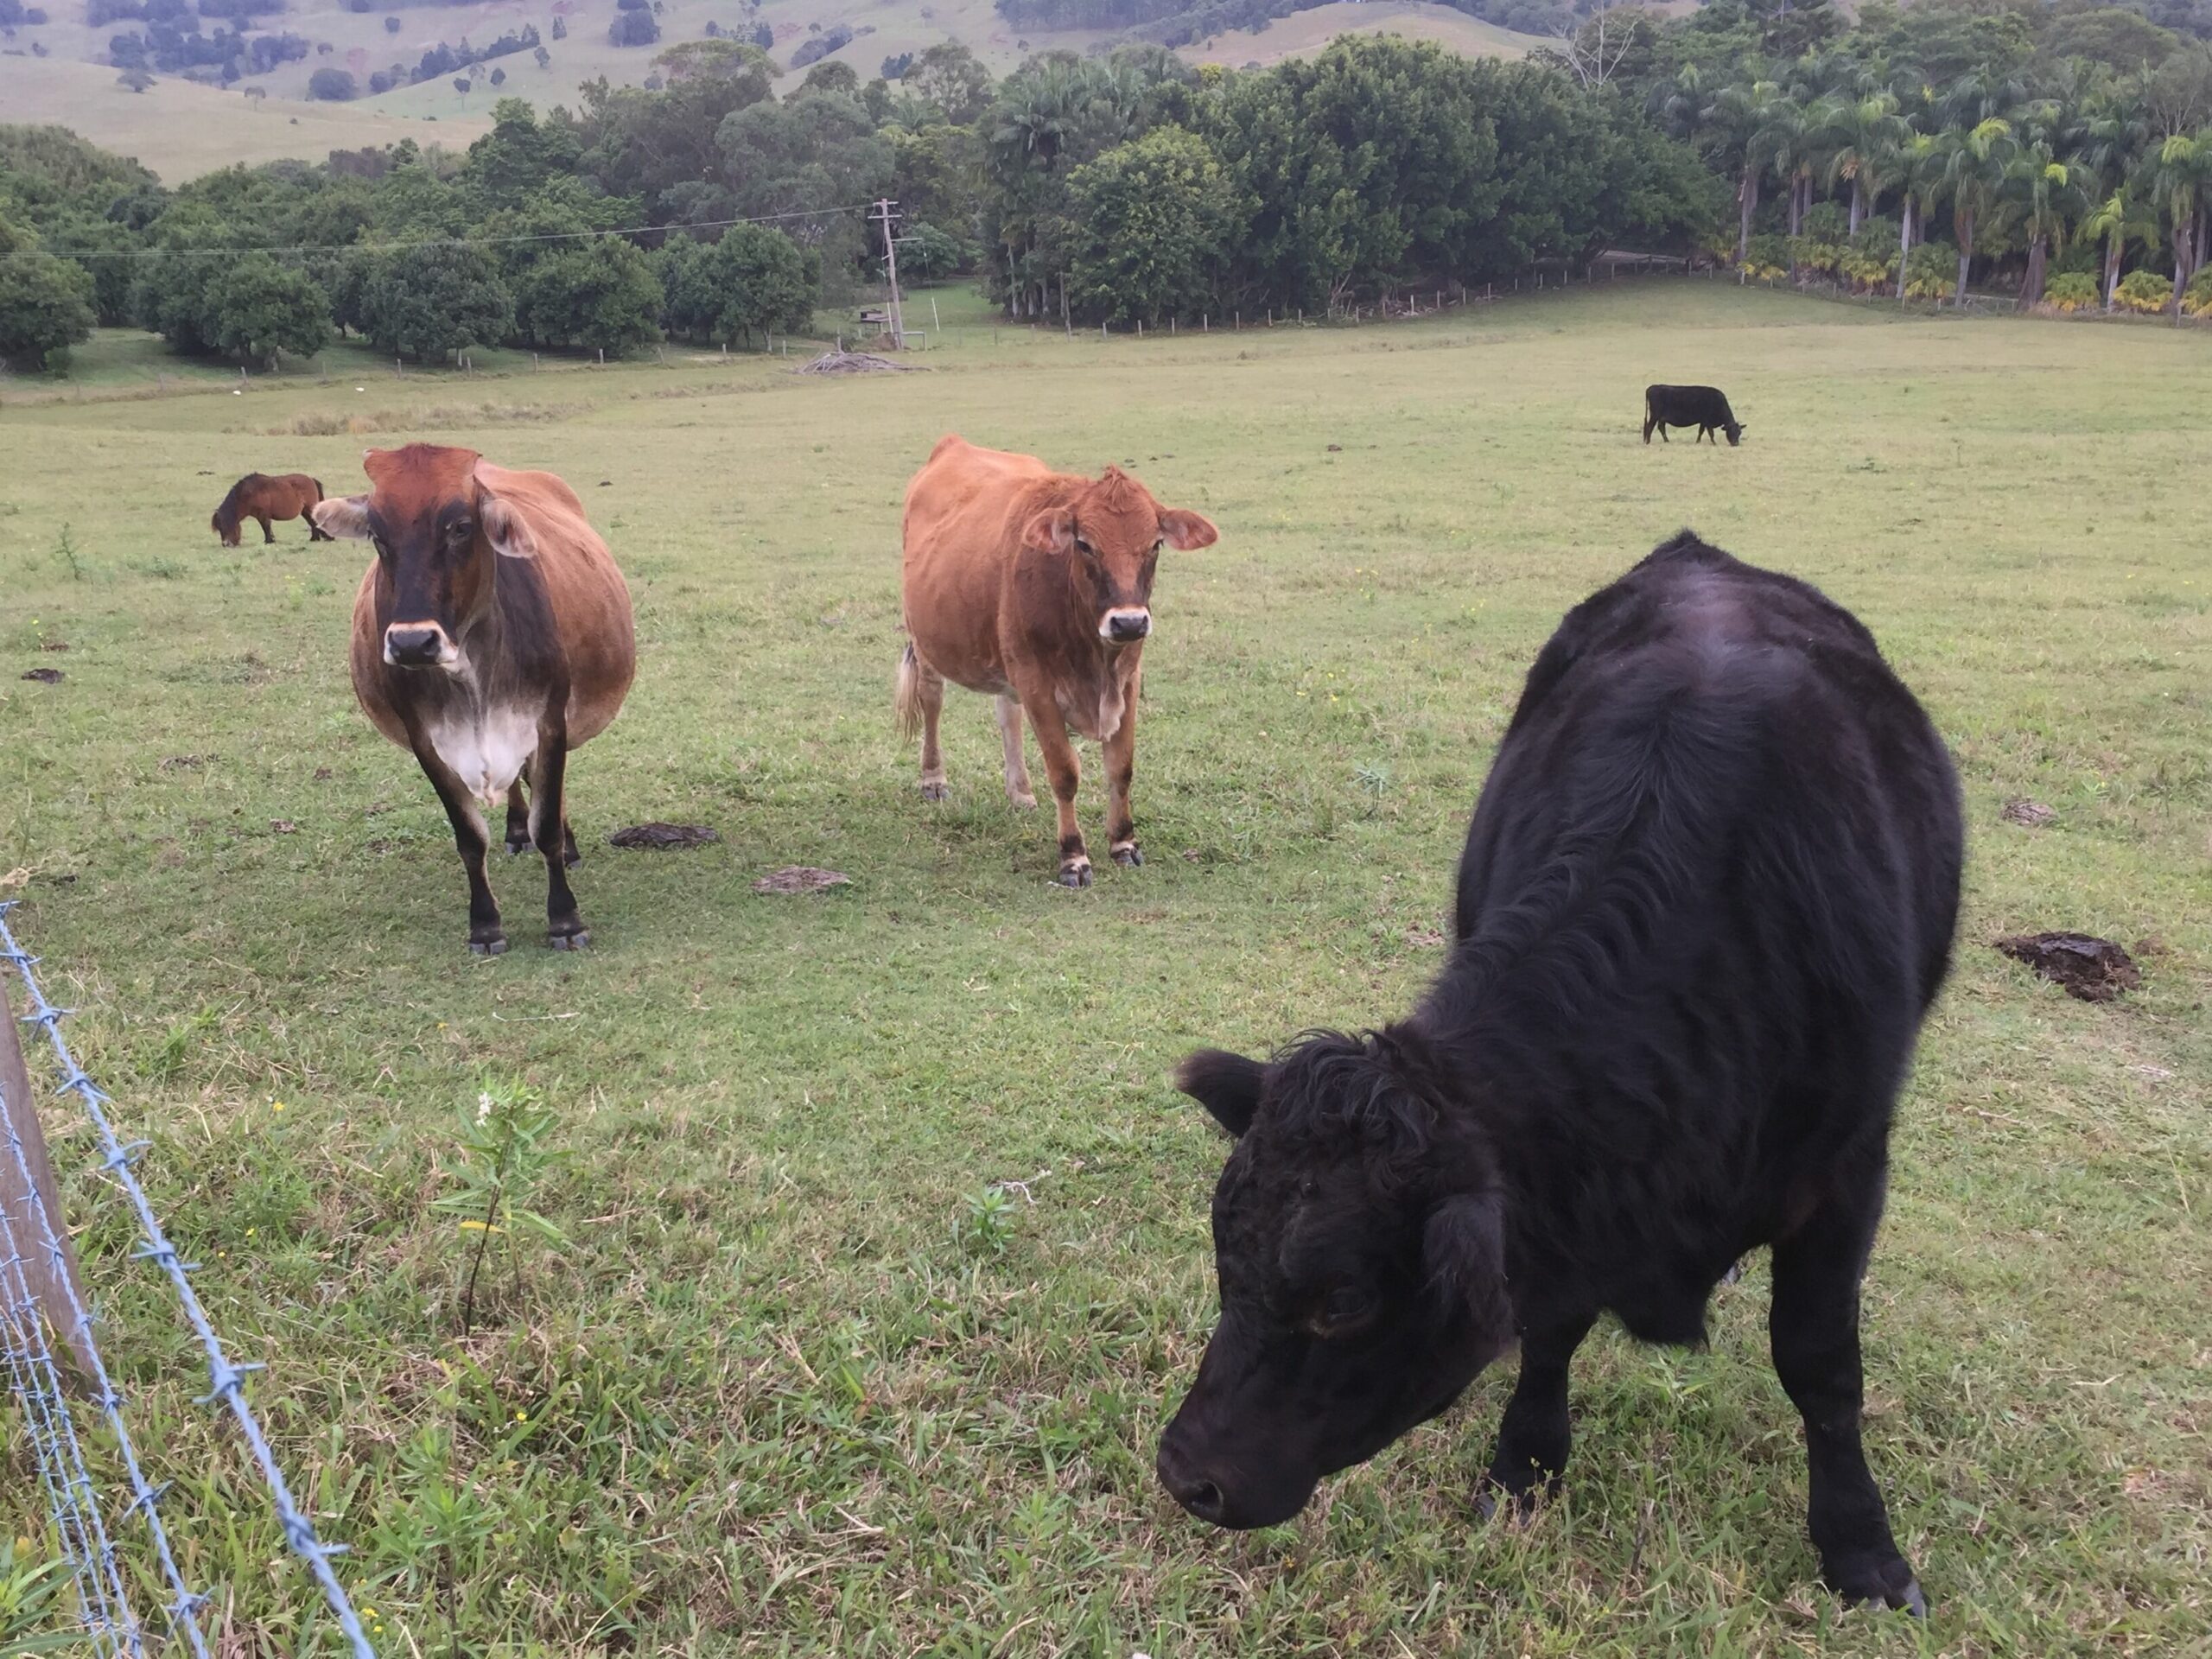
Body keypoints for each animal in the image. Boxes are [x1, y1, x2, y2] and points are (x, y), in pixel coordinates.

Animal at [307, 448, 632, 955]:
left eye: (460, 527)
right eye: (378, 536)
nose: (412, 643)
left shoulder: (549, 723)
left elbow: (547, 827)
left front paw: (565, 919)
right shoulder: (426, 742)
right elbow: (469, 837)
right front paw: (485, 924)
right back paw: (515, 831)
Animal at [889, 435, 1221, 889]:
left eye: (1155, 544)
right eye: (1084, 544)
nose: (1129, 622)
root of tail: (953, 444)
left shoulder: (1128, 680)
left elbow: (1121, 767)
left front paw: (1124, 842)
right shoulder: (1038, 685)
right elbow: (1065, 773)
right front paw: (1073, 857)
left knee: (1007, 715)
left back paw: (1020, 791)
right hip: (926, 643)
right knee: (932, 701)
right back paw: (933, 779)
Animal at [1167, 535, 1964, 1628]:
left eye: (1342, 1300)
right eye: (1224, 1254)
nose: (1184, 1474)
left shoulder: (1846, 1172)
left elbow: (1819, 1364)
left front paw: (1862, 1550)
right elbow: (1549, 1324)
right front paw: (1525, 1465)